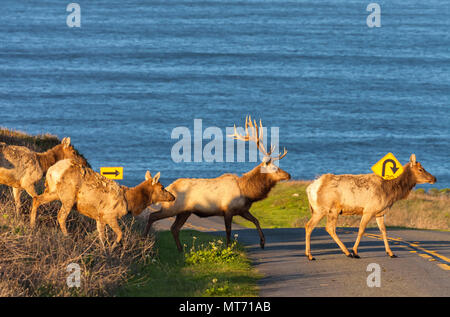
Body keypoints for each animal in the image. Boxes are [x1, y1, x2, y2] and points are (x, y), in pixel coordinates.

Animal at [30, 159, 175, 248]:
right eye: (162, 187)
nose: (173, 197)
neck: (129, 203)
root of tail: (51, 170)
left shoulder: (99, 217)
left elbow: (101, 236)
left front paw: (104, 250)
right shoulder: (109, 214)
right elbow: (120, 234)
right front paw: (112, 248)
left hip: (53, 191)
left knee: (36, 199)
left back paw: (32, 226)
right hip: (68, 196)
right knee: (61, 216)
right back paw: (67, 237)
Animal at [144, 116, 292, 252]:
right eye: (275, 168)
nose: (289, 175)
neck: (247, 192)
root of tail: (169, 187)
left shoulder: (242, 210)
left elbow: (256, 220)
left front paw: (262, 242)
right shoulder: (228, 209)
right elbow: (228, 230)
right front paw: (228, 248)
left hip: (184, 212)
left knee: (174, 228)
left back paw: (180, 250)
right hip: (172, 207)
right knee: (153, 216)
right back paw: (145, 238)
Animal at [304, 153, 438, 260]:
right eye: (421, 169)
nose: (434, 178)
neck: (391, 191)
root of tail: (309, 189)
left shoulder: (380, 212)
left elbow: (384, 230)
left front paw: (391, 253)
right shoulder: (369, 210)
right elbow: (361, 230)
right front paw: (355, 251)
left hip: (320, 210)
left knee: (309, 225)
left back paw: (310, 254)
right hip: (329, 209)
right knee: (327, 228)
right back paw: (343, 253)